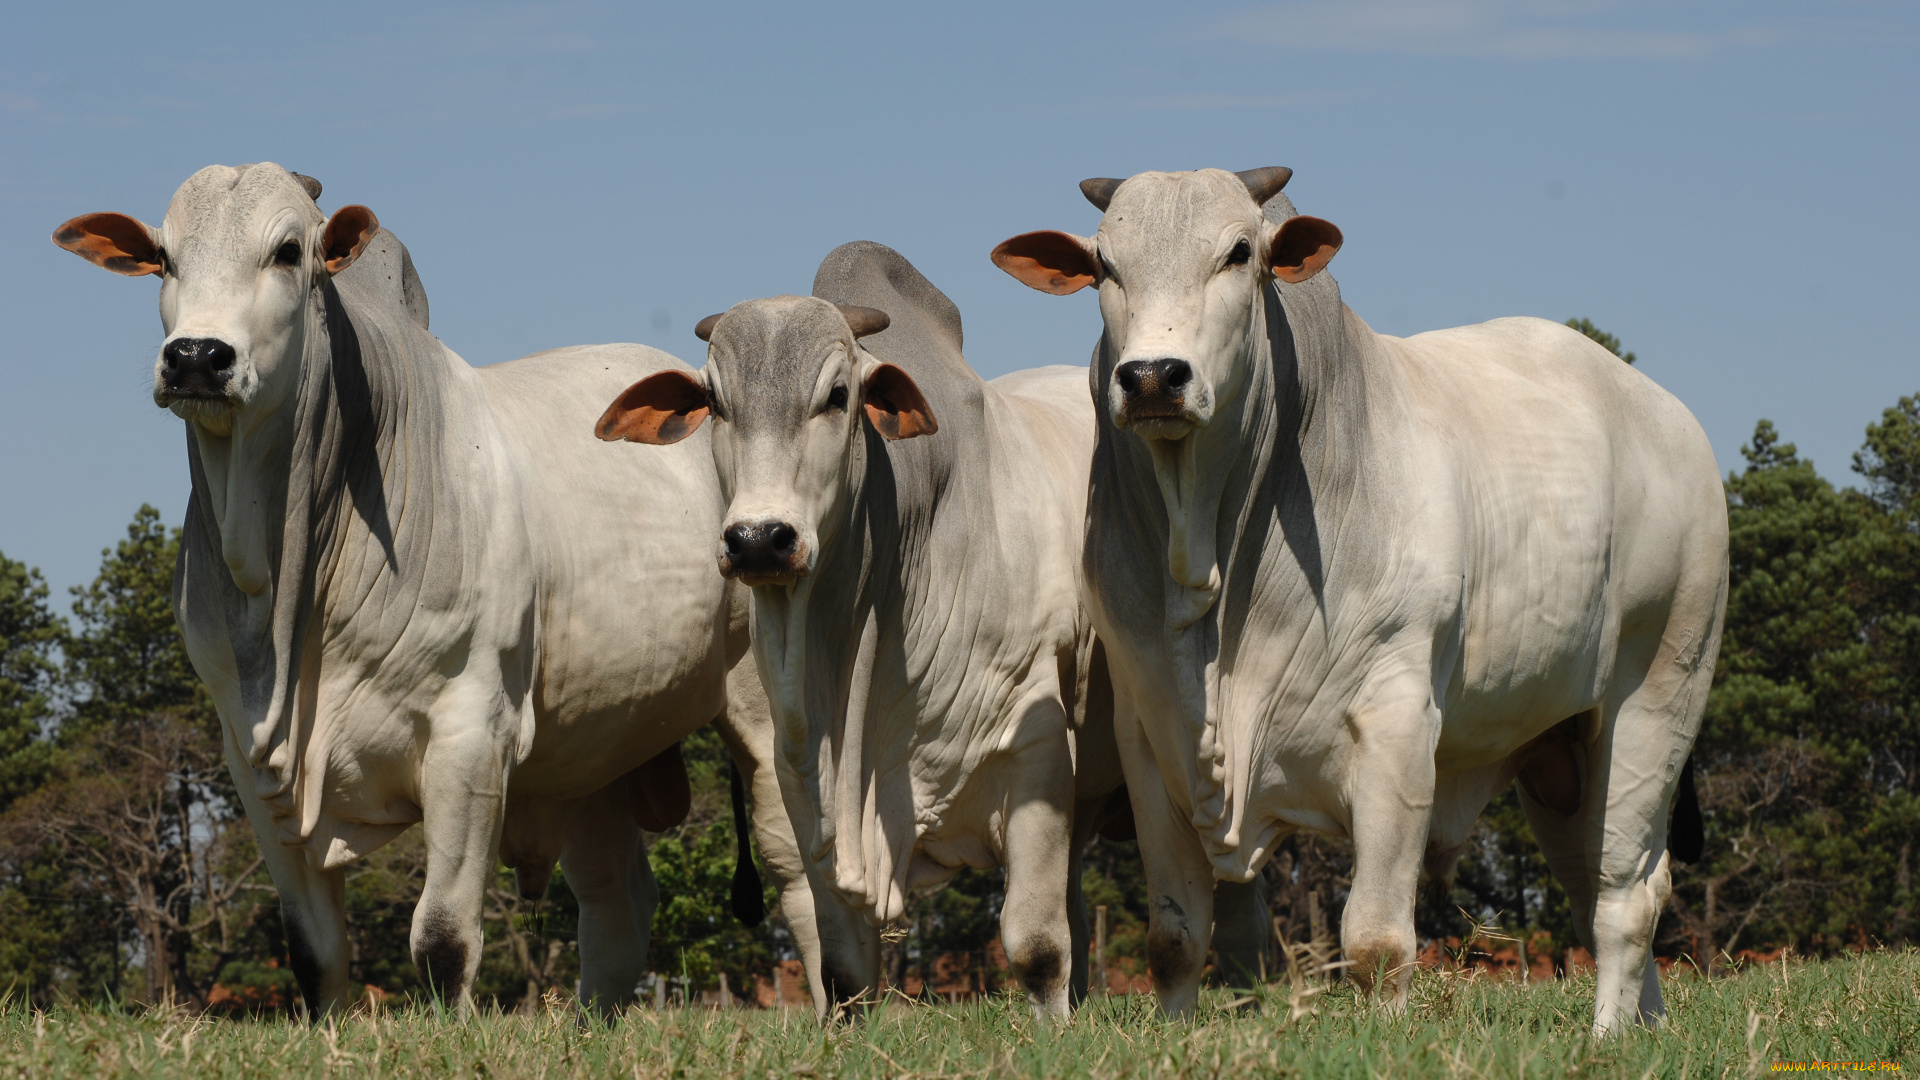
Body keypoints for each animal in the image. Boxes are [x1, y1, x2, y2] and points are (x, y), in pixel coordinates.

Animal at [50, 162, 817, 1017]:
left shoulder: (469, 733)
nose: (195, 357)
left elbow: (442, 937)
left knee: (799, 875)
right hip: (595, 745)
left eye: (288, 251)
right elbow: (314, 952)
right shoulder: (250, 758)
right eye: (164, 258)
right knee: (618, 899)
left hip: (763, 712)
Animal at [990, 168, 1725, 1034]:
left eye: (1239, 253)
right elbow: (1174, 938)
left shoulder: (1397, 727)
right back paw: (1648, 1023)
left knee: (1623, 896)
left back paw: (1608, 1033)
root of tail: (1671, 418)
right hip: (1562, 751)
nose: (1151, 378)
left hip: (1658, 694)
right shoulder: (1150, 738)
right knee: (1613, 879)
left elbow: (1375, 941)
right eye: (1105, 265)